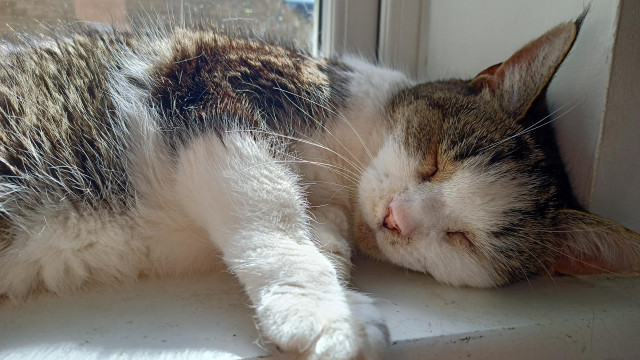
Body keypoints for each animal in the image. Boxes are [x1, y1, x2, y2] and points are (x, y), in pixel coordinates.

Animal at [1, 9, 640, 358]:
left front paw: (333, 257)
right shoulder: (203, 78)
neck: (343, 167)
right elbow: (271, 202)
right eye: (434, 159)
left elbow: (322, 229)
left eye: (465, 239)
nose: (397, 219)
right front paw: (331, 315)